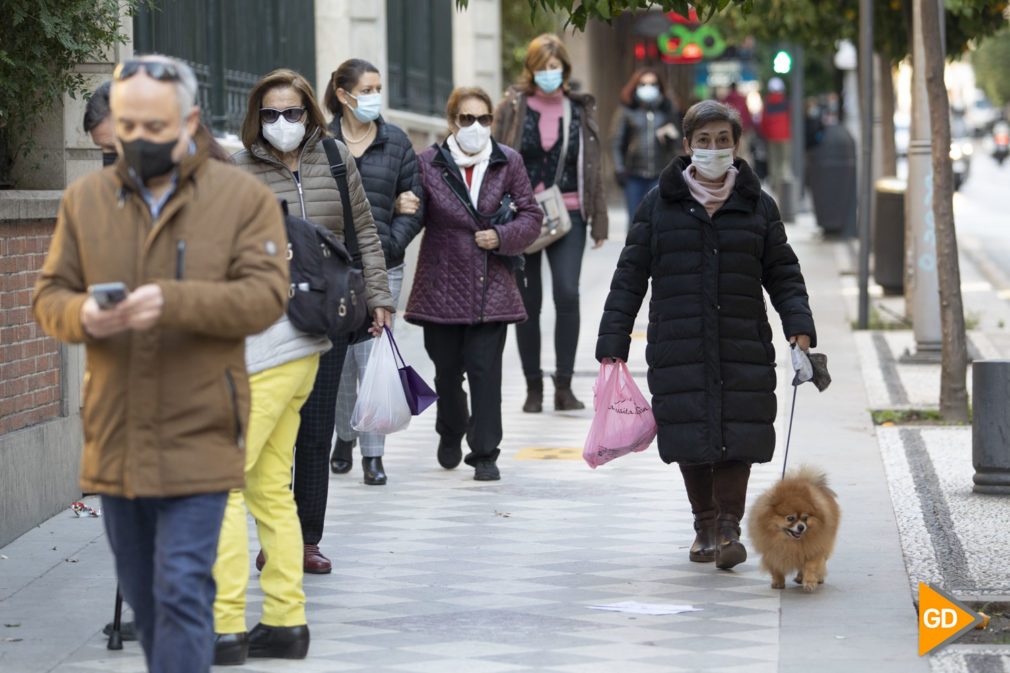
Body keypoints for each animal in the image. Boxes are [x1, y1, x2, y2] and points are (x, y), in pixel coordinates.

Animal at [747, 466, 840, 594]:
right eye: (790, 518)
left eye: (805, 518)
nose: (801, 527)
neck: (790, 542)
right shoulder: (771, 551)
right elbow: (776, 568)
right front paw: (778, 582)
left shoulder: (814, 549)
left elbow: (811, 566)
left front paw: (810, 582)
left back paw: (813, 578)